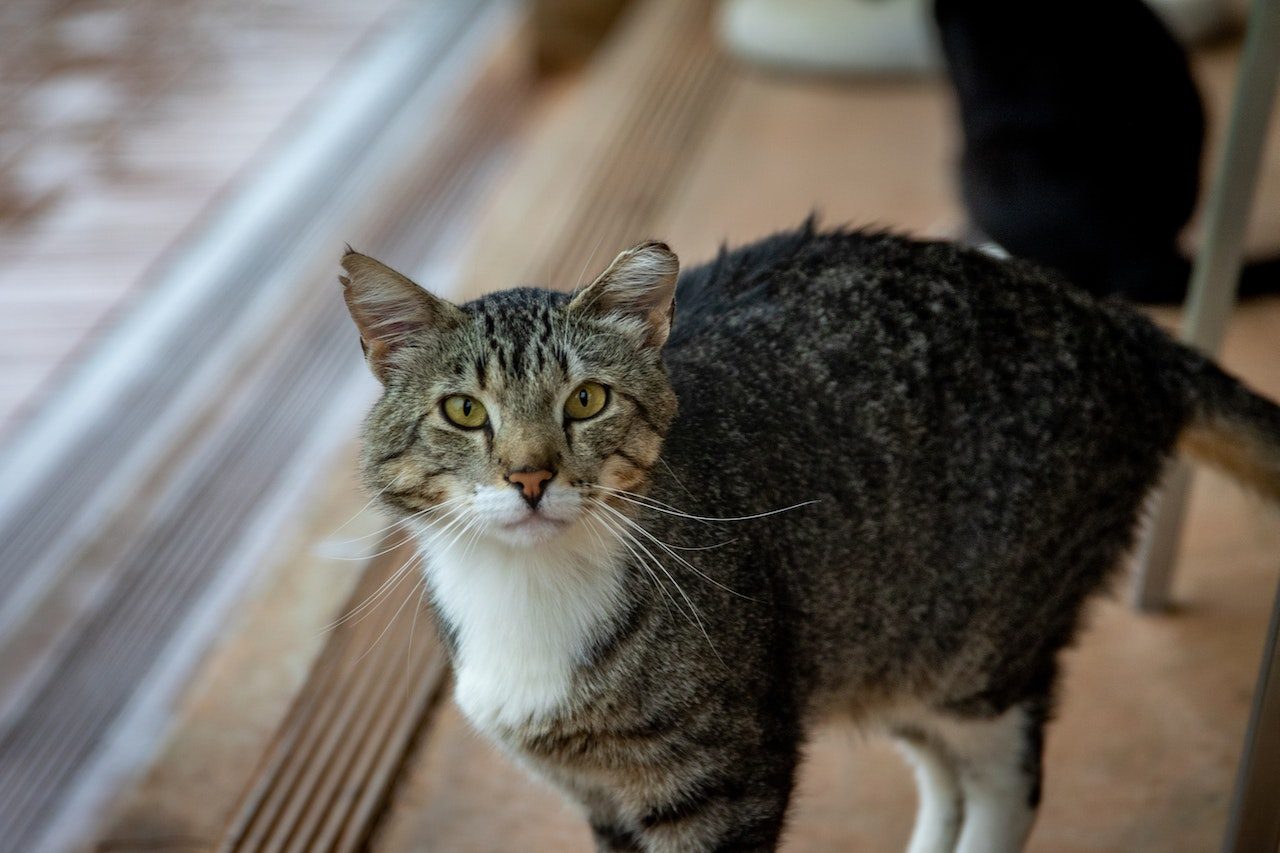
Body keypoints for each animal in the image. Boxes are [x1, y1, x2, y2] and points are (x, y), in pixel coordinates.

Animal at [337, 220, 1280, 850]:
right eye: (464, 411)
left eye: (587, 400)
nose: (531, 477)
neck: (530, 593)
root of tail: (1126, 326)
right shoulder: (602, 799)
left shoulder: (726, 776)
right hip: (879, 634)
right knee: (943, 769)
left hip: (982, 646)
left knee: (1008, 780)